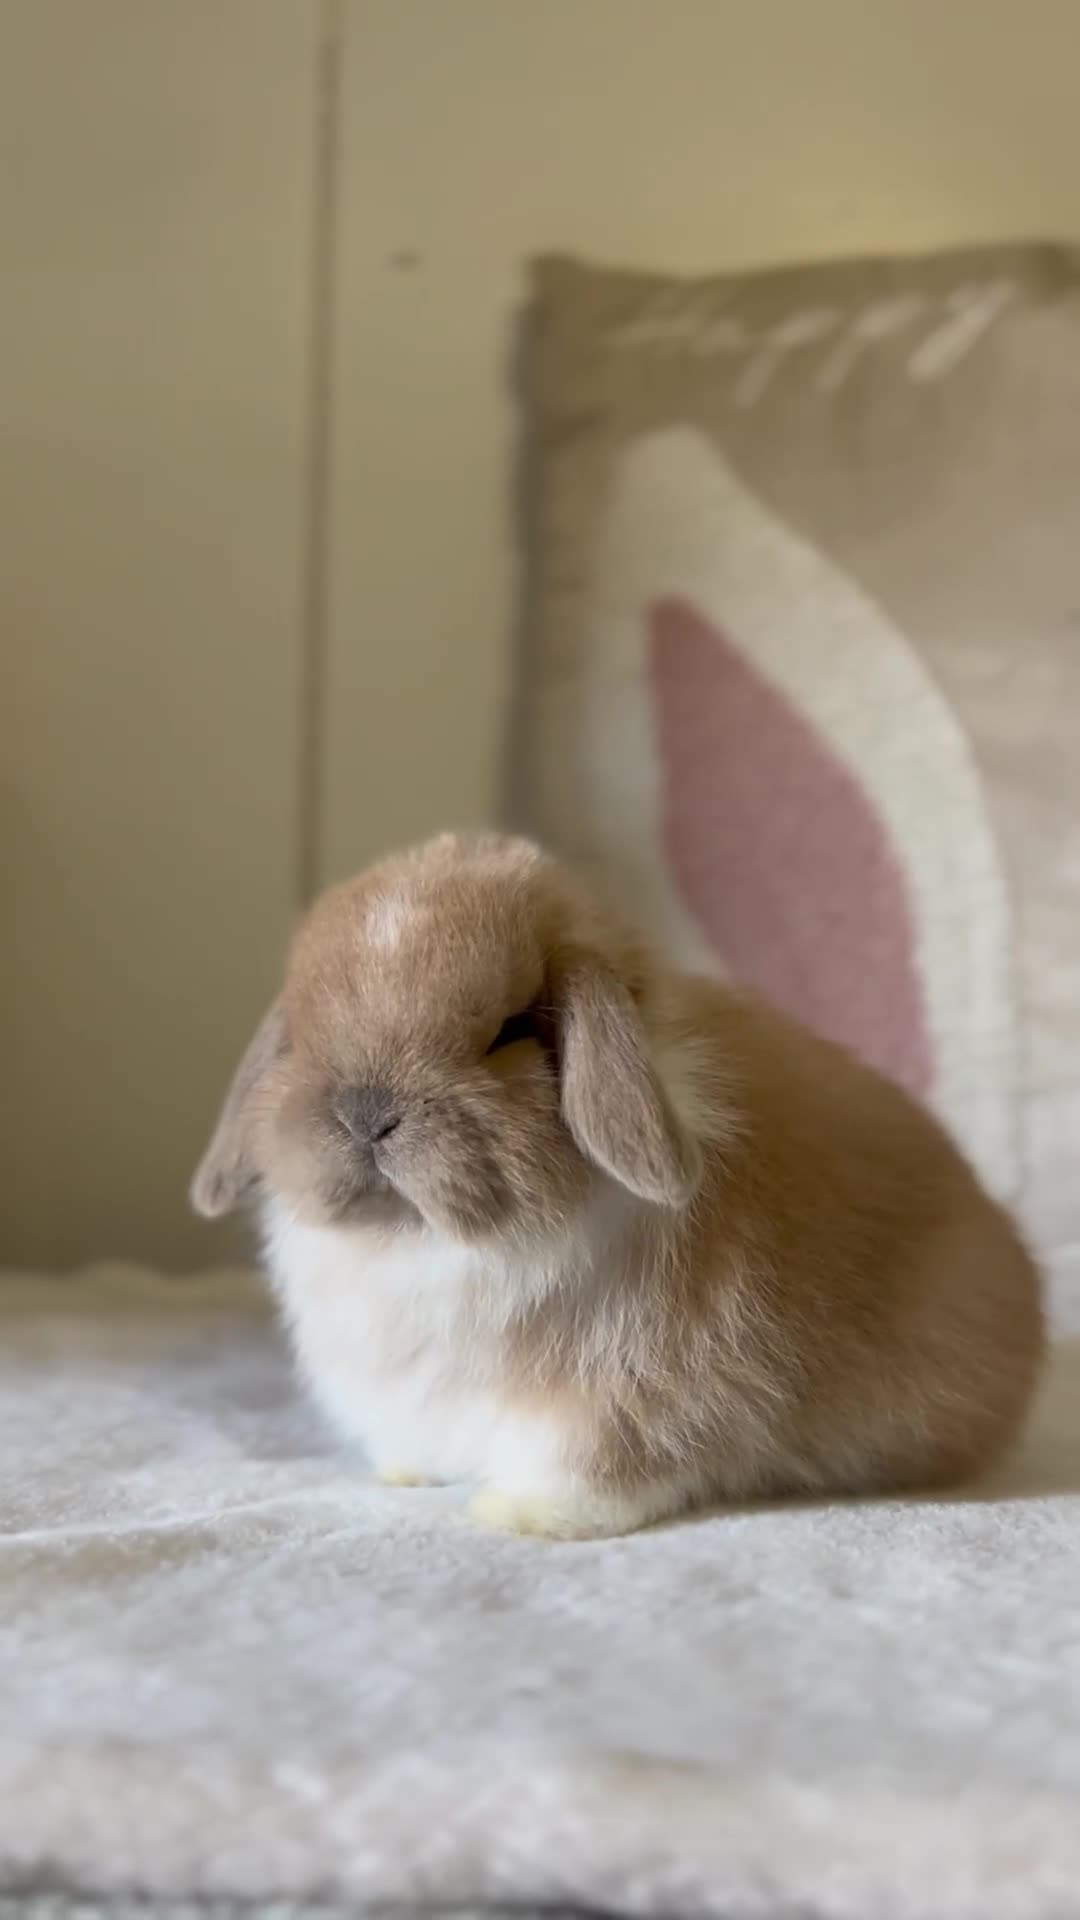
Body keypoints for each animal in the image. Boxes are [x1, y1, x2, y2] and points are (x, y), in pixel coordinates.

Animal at [191, 830, 1045, 1539]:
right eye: (302, 1032)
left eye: (510, 1031)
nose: (366, 1112)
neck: (426, 1243)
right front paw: (408, 1473)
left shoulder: (630, 1394)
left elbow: (594, 1465)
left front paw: (521, 1517)